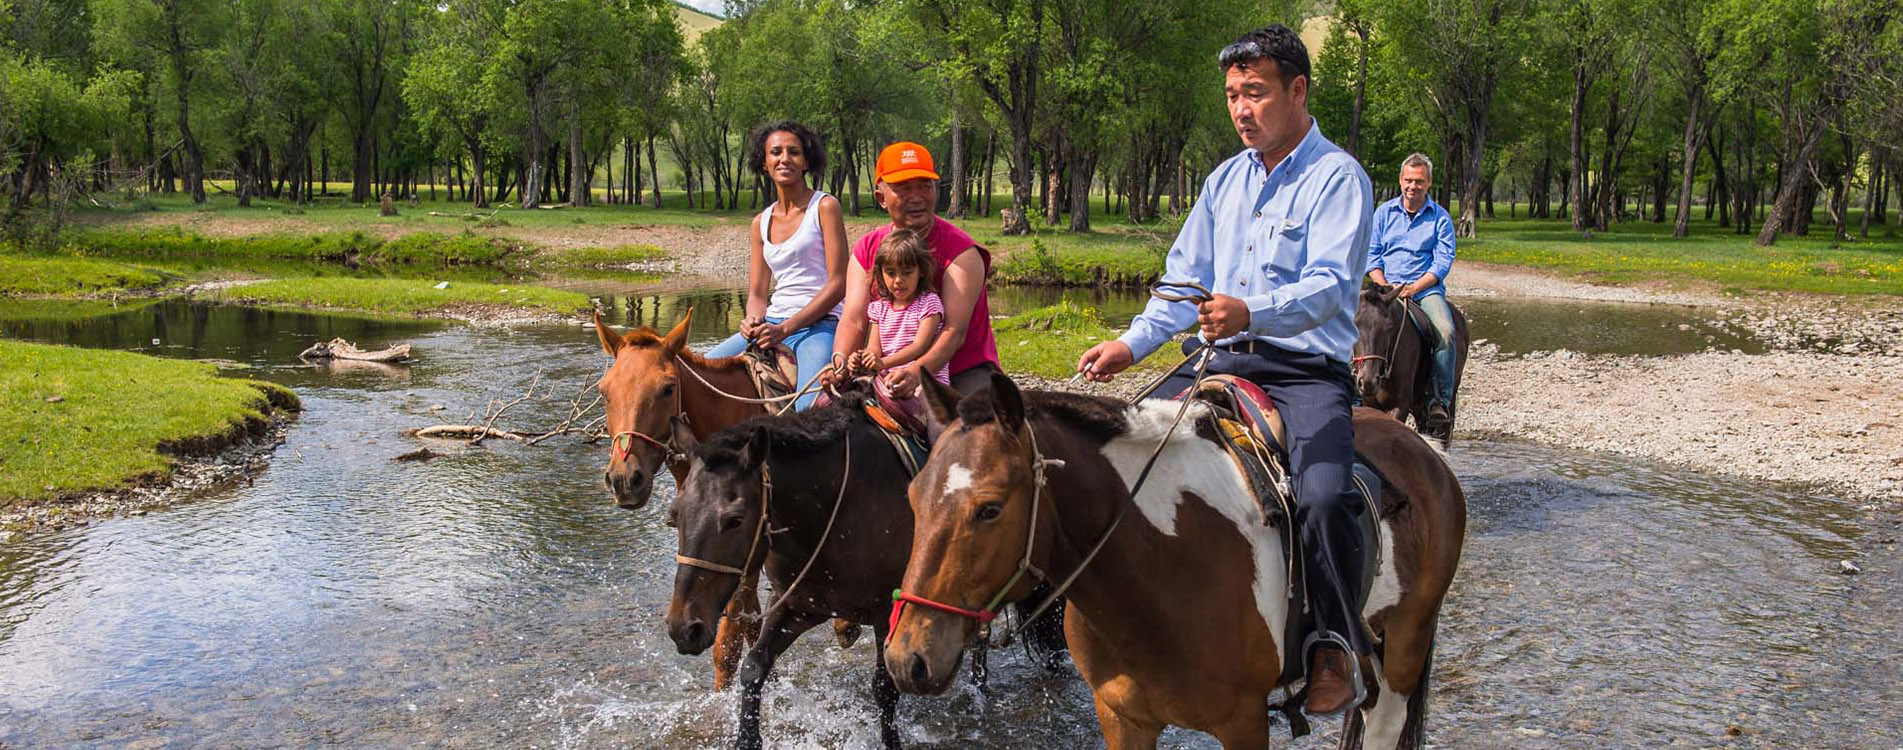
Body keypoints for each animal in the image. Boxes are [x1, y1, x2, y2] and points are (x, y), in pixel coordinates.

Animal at [662, 403, 913, 750]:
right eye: (674, 515)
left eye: (735, 519)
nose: (684, 628)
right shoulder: (796, 604)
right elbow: (754, 667)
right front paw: (747, 738)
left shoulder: (888, 611)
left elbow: (885, 689)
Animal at [882, 375, 1461, 750]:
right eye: (911, 495)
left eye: (990, 508)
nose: (907, 659)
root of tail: (1423, 448)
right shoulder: (1121, 718)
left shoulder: (1243, 722)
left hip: (1407, 641)